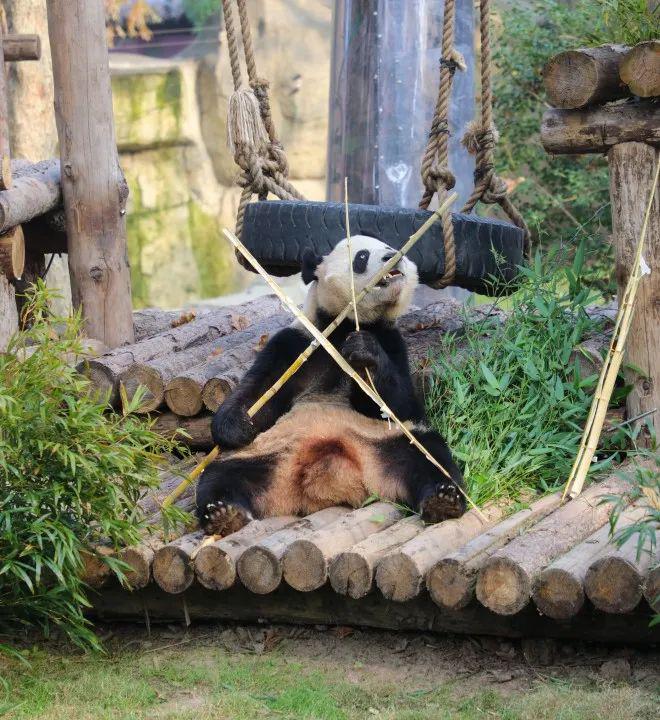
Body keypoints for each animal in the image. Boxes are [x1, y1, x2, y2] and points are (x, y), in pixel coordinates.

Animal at [195, 235, 466, 536]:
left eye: (392, 248)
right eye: (362, 256)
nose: (392, 257)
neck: (343, 327)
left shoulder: (393, 342)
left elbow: (400, 404)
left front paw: (365, 352)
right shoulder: (295, 344)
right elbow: (259, 389)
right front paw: (237, 425)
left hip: (389, 442)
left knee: (430, 456)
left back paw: (443, 501)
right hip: (261, 454)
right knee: (220, 476)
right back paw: (224, 514)